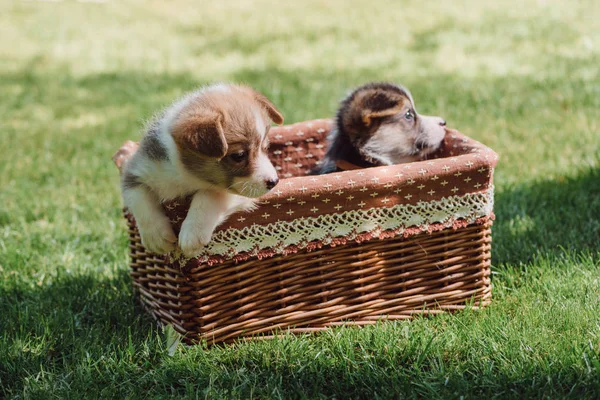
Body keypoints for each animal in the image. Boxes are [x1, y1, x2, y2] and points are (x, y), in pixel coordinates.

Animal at [120, 84, 284, 256]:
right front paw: (156, 237)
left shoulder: (234, 191)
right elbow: (139, 199)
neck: (186, 177)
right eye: (239, 155)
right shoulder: (136, 169)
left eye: (266, 147)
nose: (274, 182)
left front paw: (192, 233)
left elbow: (209, 195)